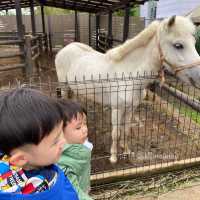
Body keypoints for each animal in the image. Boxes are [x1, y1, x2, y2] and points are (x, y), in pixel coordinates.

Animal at [55, 15, 200, 162]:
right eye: (178, 45)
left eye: (194, 42)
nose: (198, 77)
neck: (129, 75)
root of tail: (66, 48)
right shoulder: (117, 109)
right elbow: (115, 133)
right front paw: (113, 156)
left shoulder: (131, 108)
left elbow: (126, 130)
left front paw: (126, 150)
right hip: (64, 86)